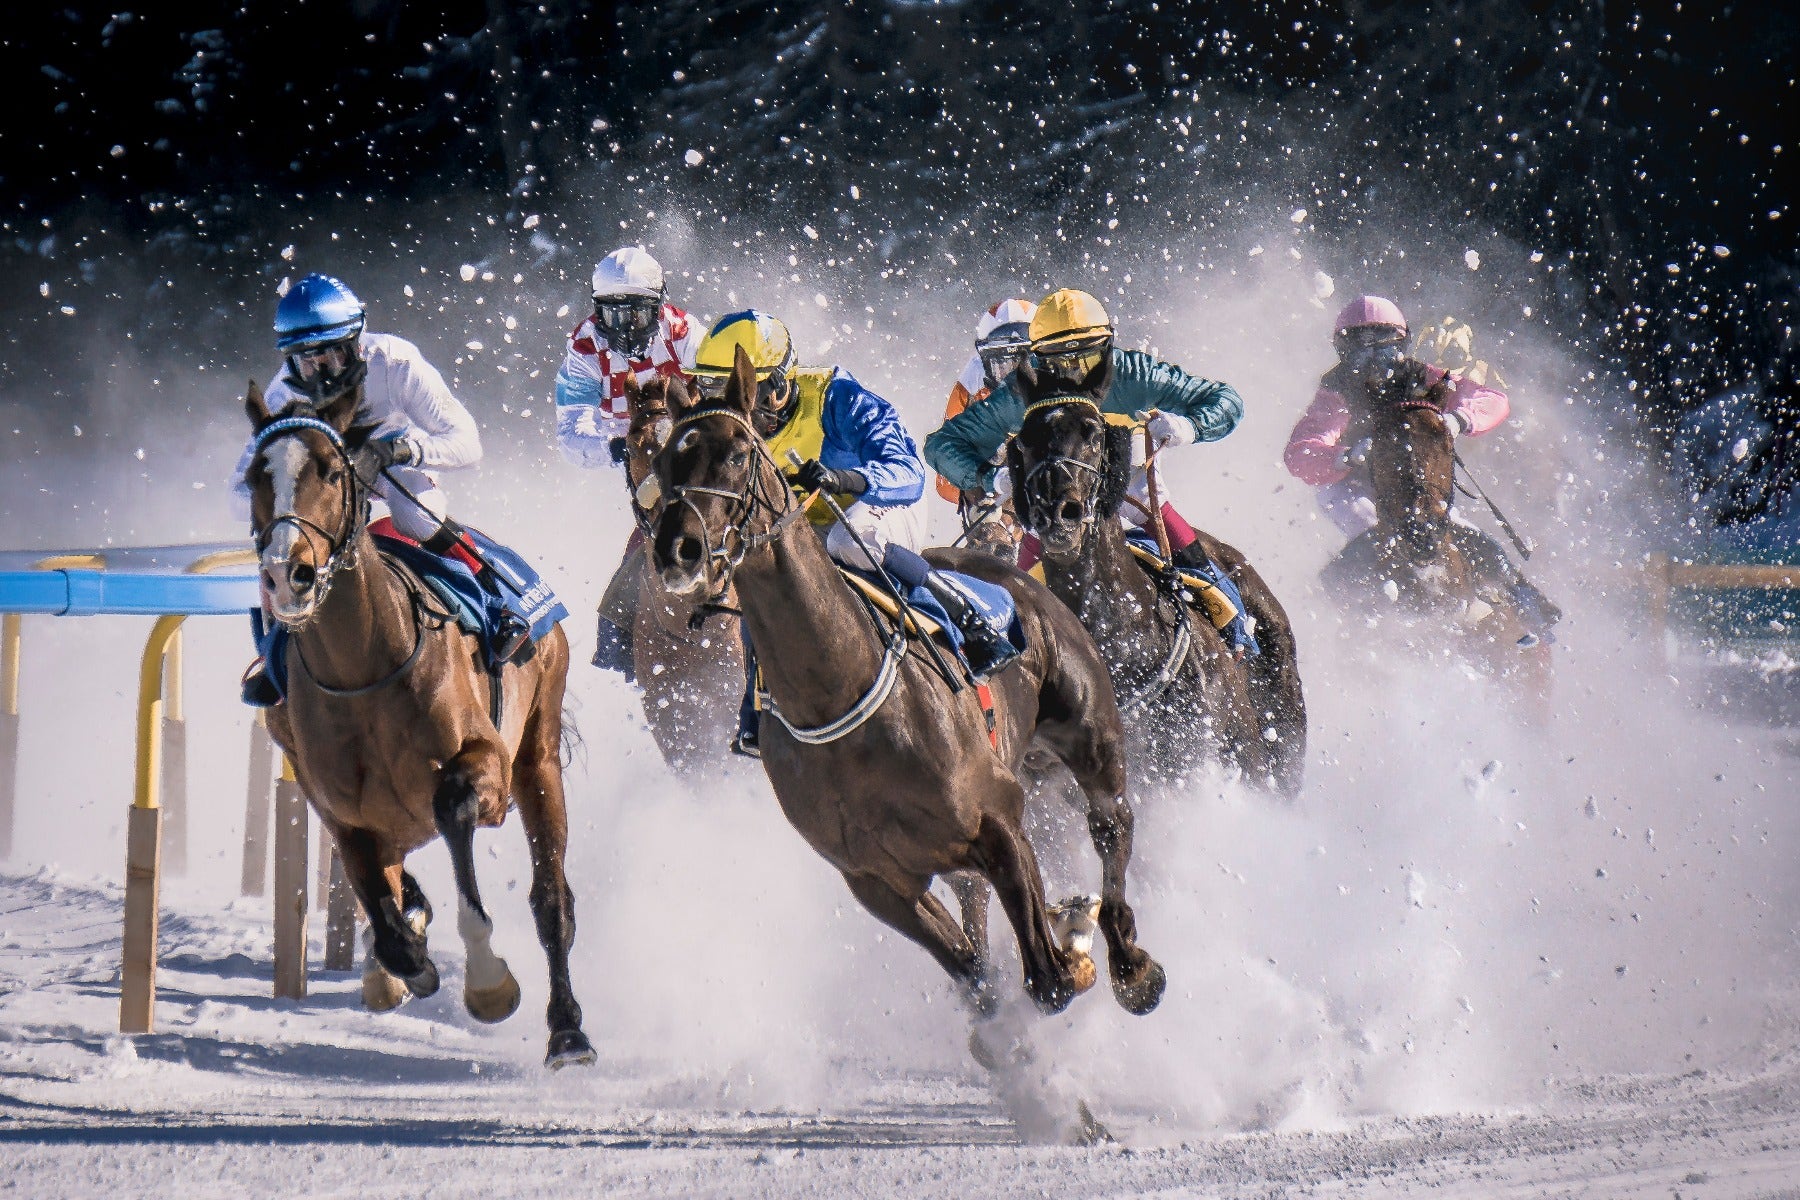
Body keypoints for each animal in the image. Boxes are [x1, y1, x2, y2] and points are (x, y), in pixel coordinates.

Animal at [237, 379, 590, 1065]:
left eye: (330, 467)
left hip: (538, 754)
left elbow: (453, 809)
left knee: (551, 900)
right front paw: (407, 958)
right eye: (253, 476)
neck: (363, 670)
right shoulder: (342, 812)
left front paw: (488, 983)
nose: (285, 572)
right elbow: (383, 910)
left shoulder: (487, 767)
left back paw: (567, 1031)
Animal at [648, 345, 1166, 1101]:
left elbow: (1046, 976)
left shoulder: (998, 822)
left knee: (1111, 826)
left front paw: (1074, 942)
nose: (676, 551)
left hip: (1090, 732)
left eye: (739, 454)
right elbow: (979, 982)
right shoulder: (876, 881)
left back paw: (1130, 963)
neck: (841, 694)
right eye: (665, 460)